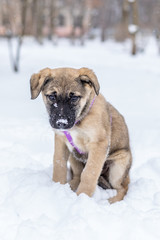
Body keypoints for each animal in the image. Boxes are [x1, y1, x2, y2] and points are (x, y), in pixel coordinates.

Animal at [30, 67, 132, 202]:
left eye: (74, 98)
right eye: (51, 96)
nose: (61, 123)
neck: (79, 121)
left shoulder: (99, 144)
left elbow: (89, 173)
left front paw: (82, 197)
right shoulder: (61, 140)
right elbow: (59, 165)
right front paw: (57, 187)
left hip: (119, 166)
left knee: (122, 187)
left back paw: (111, 201)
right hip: (74, 155)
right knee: (78, 175)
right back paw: (71, 185)